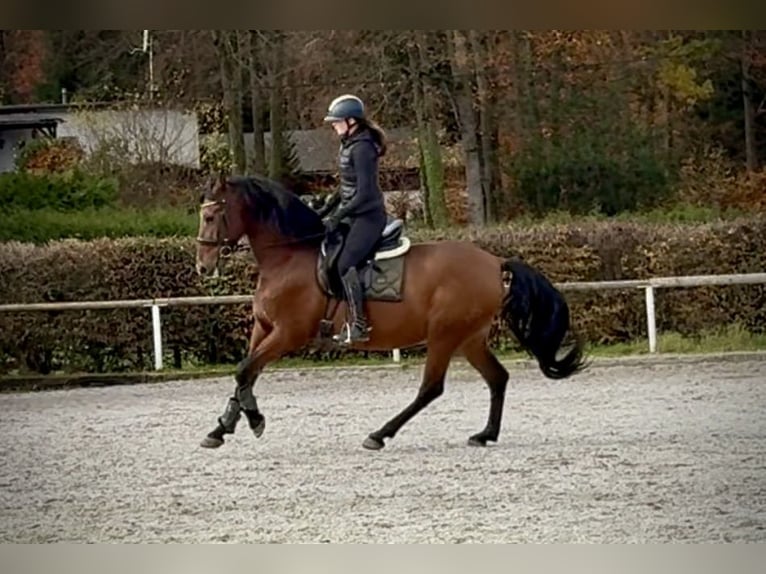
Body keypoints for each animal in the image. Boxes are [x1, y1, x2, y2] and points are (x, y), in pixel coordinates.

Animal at [195, 173, 587, 450]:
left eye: (212, 215)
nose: (202, 266)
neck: (289, 256)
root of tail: (494, 262)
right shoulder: (263, 329)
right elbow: (244, 374)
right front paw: (221, 428)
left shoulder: (288, 333)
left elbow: (244, 371)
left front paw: (254, 420)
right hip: (469, 338)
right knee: (497, 378)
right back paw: (485, 434)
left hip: (444, 334)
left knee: (431, 388)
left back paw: (380, 434)